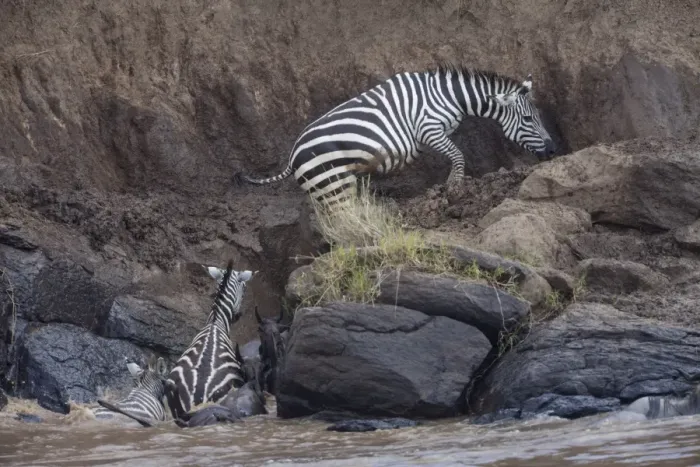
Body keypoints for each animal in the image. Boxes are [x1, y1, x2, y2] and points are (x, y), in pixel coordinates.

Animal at [236, 64, 556, 207]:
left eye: (539, 117)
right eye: (528, 119)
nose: (553, 150)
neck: (448, 96)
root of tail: (293, 155)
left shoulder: (437, 133)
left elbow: (455, 154)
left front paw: (450, 186)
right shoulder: (428, 129)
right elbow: (458, 155)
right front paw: (454, 189)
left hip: (329, 186)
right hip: (330, 185)